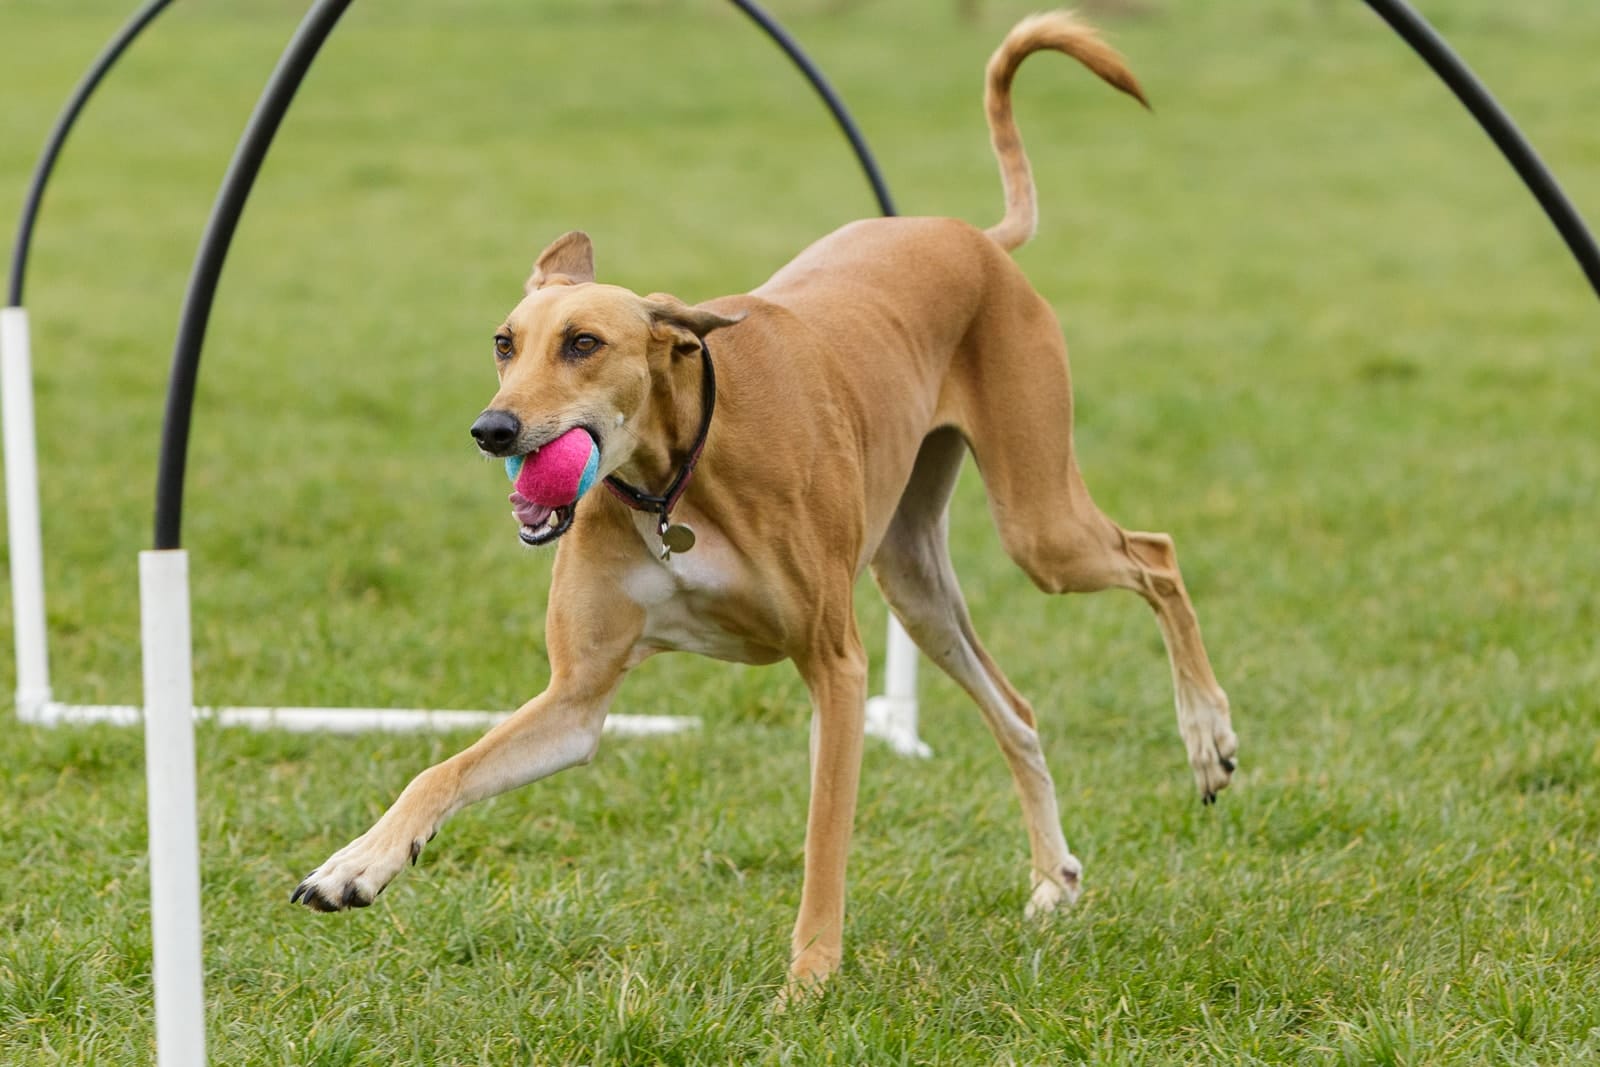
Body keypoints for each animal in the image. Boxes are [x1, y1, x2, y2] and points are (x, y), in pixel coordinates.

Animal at [291, 10, 1235, 991]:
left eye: (584, 343)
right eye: (504, 343)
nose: (492, 428)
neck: (674, 481)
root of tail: (972, 235)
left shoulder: (838, 668)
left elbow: (824, 844)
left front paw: (809, 981)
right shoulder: (577, 700)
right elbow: (445, 768)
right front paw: (357, 863)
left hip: (1038, 525)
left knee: (1156, 556)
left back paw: (1207, 737)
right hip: (917, 584)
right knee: (1017, 709)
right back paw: (1055, 876)